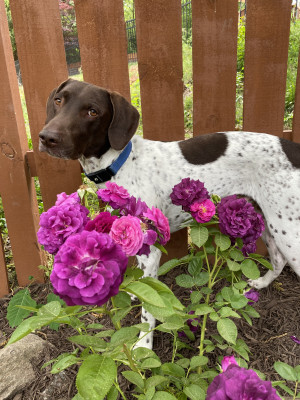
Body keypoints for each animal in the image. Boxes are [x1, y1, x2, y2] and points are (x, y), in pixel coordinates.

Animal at [38, 78, 300, 346]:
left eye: (93, 111)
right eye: (58, 100)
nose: (47, 137)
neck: (120, 163)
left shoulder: (151, 251)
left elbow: (148, 309)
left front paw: (143, 344)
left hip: (290, 232)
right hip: (270, 222)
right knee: (278, 260)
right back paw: (260, 283)